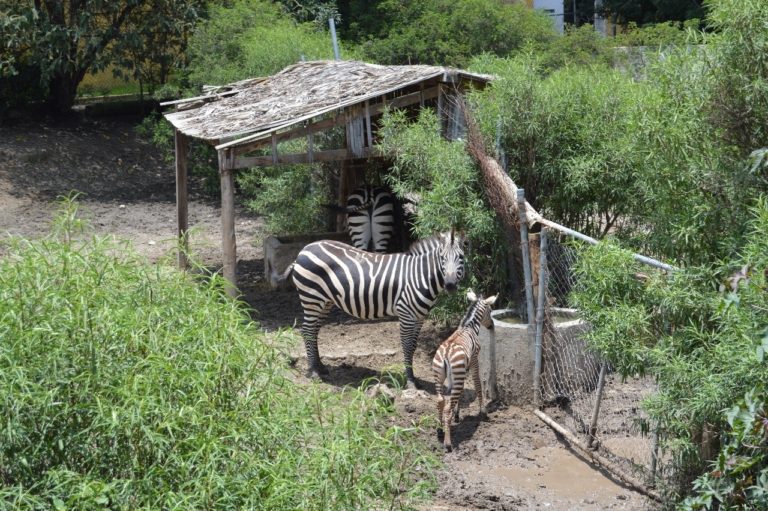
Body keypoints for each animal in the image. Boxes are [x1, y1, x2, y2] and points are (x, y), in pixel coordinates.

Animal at [274, 230, 467, 388]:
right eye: (442, 258)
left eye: (461, 258)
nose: (450, 285)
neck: (420, 276)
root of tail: (304, 250)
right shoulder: (406, 314)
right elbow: (406, 346)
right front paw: (410, 381)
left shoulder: (420, 317)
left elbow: (412, 347)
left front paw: (413, 378)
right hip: (312, 298)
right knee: (307, 330)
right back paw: (314, 371)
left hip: (325, 301)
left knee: (313, 331)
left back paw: (320, 367)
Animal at [432, 289, 497, 452]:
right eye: (490, 311)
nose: (492, 326)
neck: (469, 326)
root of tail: (446, 353)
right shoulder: (474, 361)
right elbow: (478, 385)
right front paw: (483, 412)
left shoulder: (459, 373)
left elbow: (459, 394)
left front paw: (457, 415)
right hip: (456, 372)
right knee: (446, 407)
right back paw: (448, 443)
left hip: (439, 375)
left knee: (440, 400)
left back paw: (440, 430)